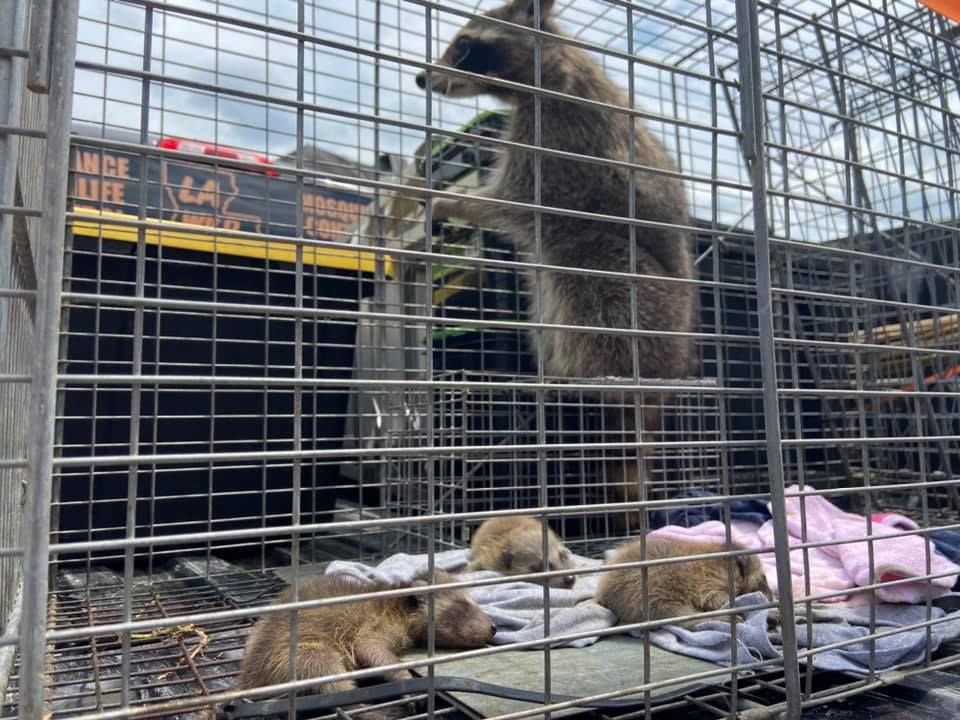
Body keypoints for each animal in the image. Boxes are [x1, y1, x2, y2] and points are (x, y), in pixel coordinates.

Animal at [416, 0, 697, 527]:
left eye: (463, 45)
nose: (423, 78)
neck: (546, 72)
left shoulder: (563, 140)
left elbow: (512, 204)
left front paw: (448, 201)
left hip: (637, 300)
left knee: (587, 278)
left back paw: (581, 376)